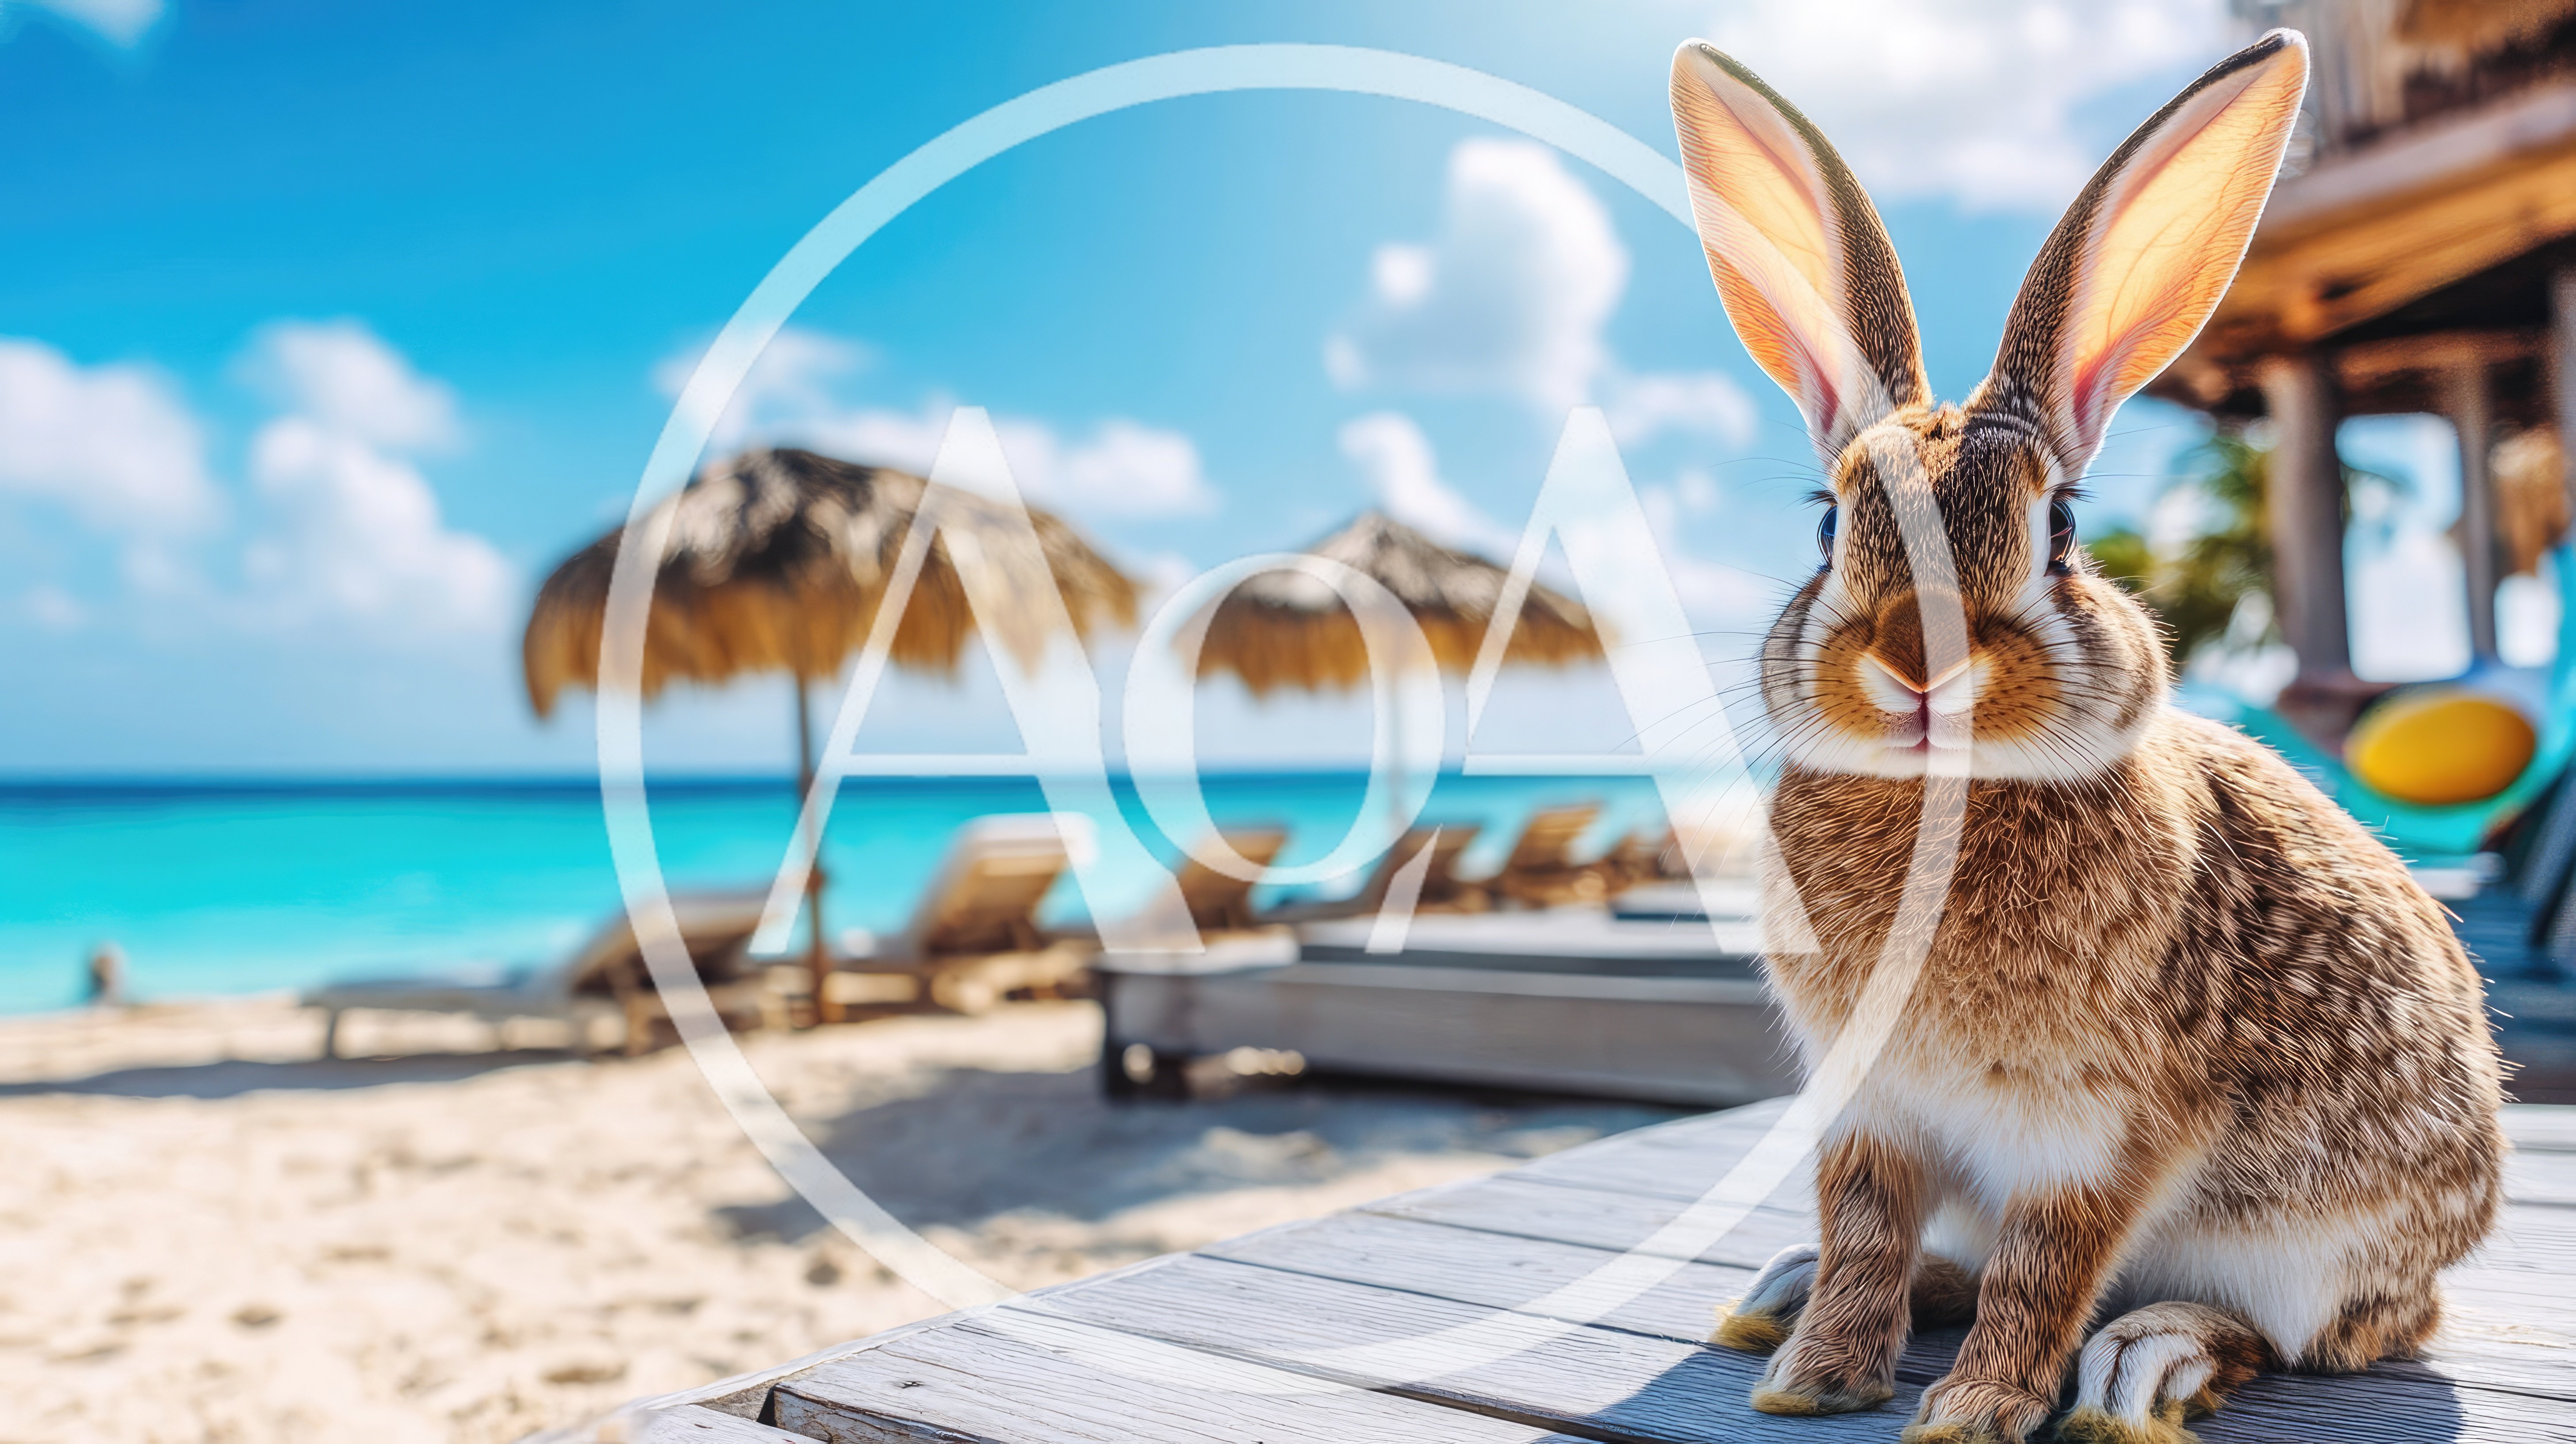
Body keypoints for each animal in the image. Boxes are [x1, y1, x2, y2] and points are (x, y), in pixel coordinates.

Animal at [1666, 28, 2505, 1444]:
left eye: (2059, 532)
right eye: (1830, 527)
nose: (1920, 666)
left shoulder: (2102, 1135)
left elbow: (2047, 1269)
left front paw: (1972, 1409)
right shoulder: (1870, 1110)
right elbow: (1865, 1234)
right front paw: (1817, 1377)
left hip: (2311, 1251)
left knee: (2300, 1335)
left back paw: (2142, 1367)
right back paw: (1780, 1298)